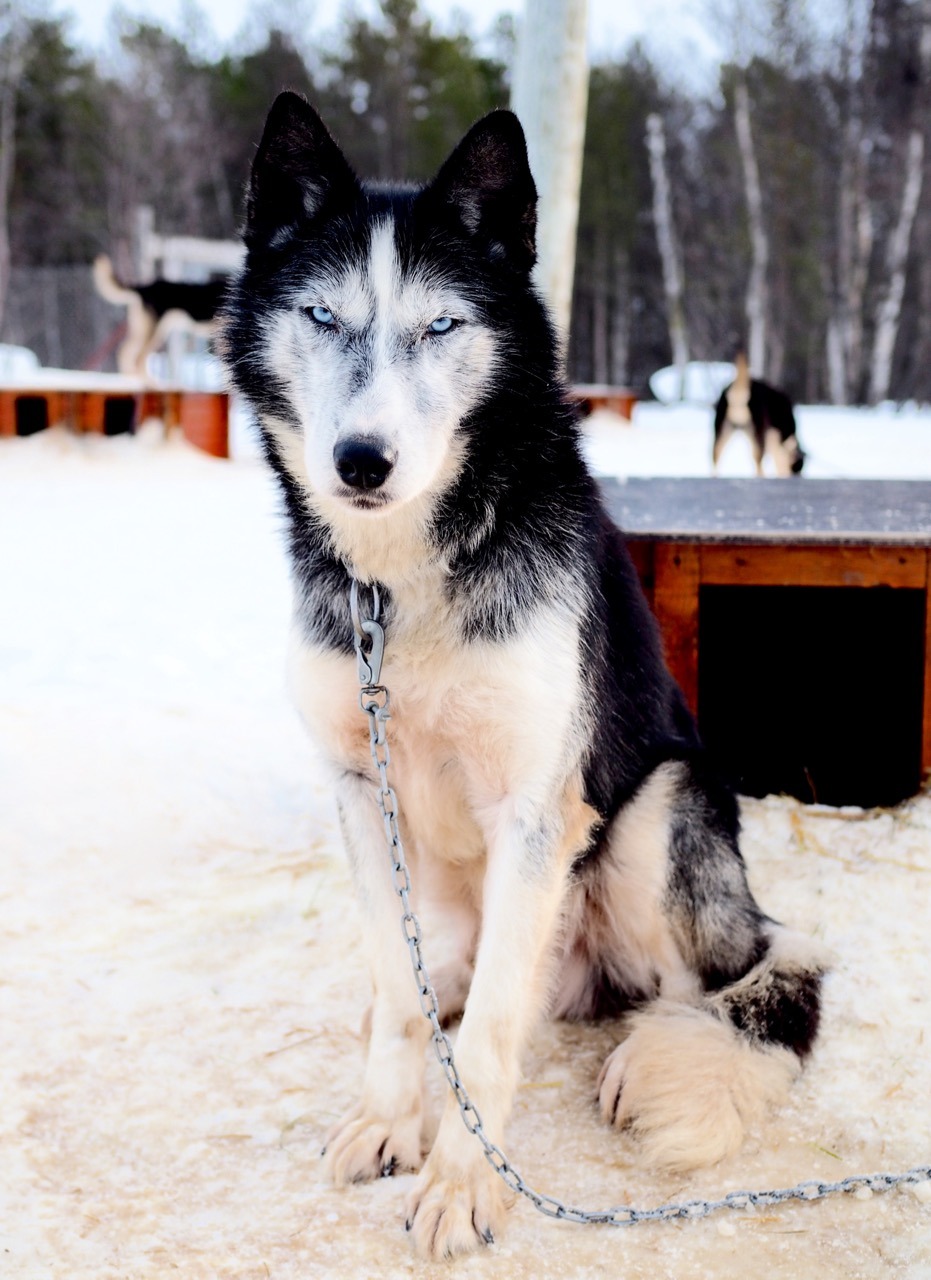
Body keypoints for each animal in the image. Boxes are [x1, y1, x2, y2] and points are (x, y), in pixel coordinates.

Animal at [216, 92, 824, 1259]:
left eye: (440, 326)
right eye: (322, 316)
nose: (361, 460)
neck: (402, 581)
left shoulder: (538, 809)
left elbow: (494, 1033)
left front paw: (465, 1182)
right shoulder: (360, 793)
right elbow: (399, 996)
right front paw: (390, 1116)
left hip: (648, 822)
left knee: (724, 976)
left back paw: (652, 1048)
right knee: (441, 980)